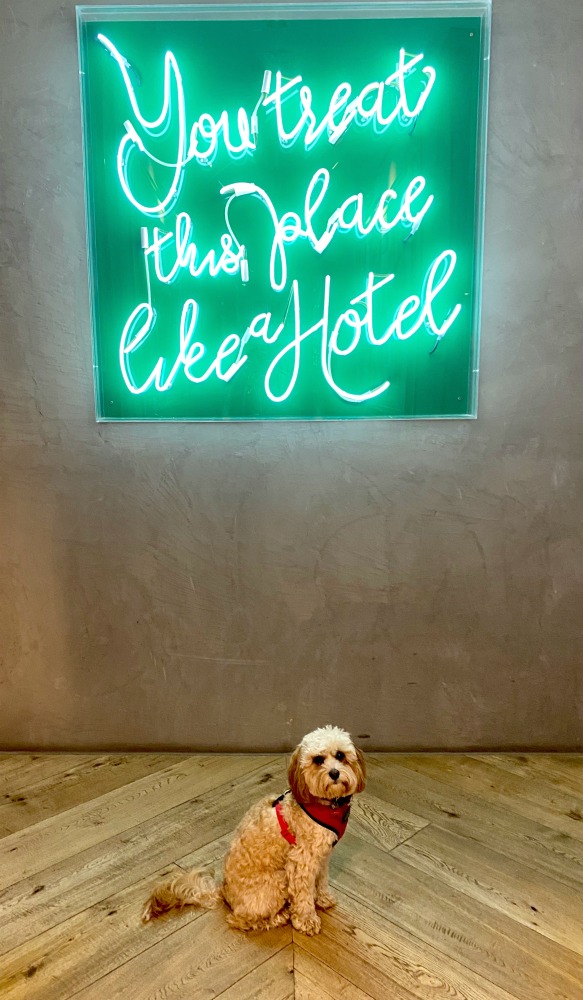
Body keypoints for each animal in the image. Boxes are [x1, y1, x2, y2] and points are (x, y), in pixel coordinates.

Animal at [141, 724, 364, 932]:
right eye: (318, 760)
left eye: (340, 755)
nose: (334, 773)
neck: (325, 804)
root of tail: (223, 892)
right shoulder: (301, 862)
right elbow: (302, 896)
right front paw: (306, 920)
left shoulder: (322, 856)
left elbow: (322, 880)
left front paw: (323, 898)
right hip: (277, 881)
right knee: (240, 919)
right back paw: (278, 917)